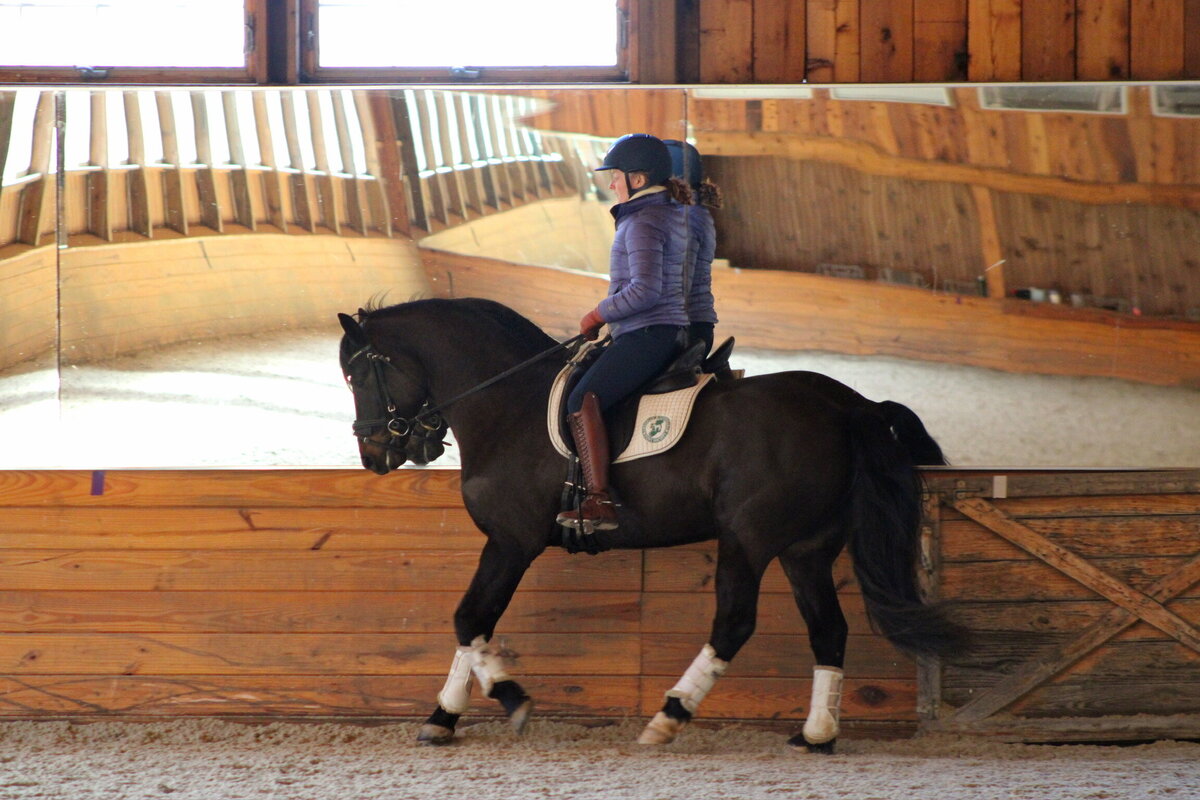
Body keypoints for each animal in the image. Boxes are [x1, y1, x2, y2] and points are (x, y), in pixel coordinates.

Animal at [336, 297, 964, 753]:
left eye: (356, 376)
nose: (372, 452)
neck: (507, 402)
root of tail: (848, 404)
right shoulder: (506, 544)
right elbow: (473, 627)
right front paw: (442, 717)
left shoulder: (512, 542)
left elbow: (469, 620)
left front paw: (507, 700)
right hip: (805, 548)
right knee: (828, 631)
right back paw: (816, 734)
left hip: (747, 538)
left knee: (733, 624)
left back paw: (668, 717)